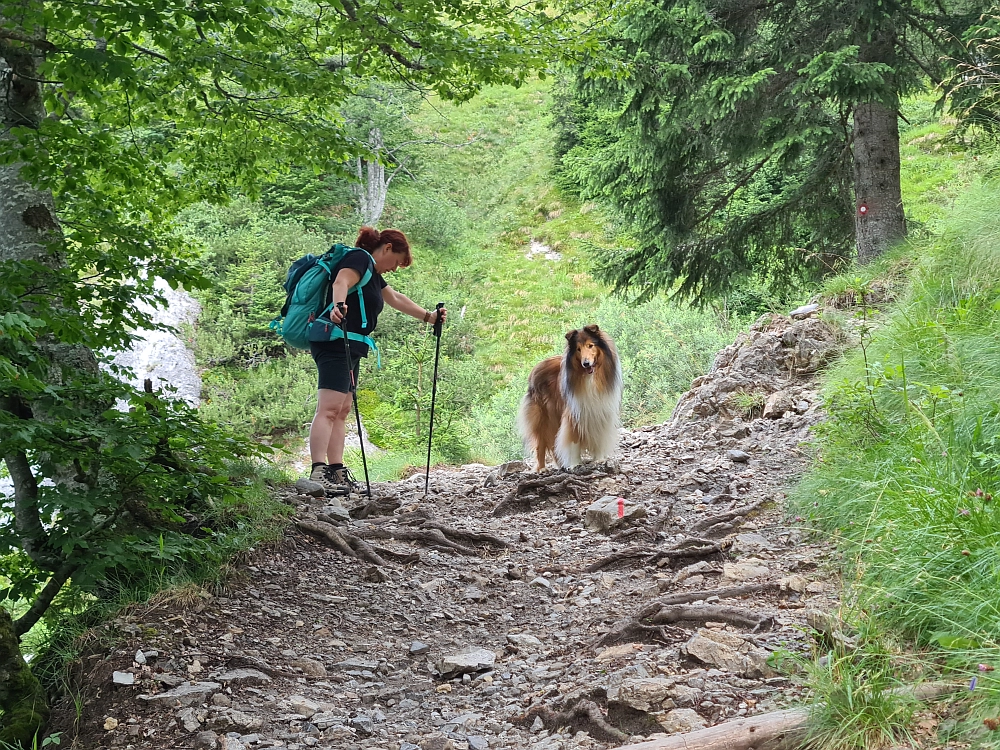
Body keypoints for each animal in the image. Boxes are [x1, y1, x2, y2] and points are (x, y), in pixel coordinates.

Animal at [520, 324, 620, 470]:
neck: (590, 379)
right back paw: (542, 468)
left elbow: (598, 437)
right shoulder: (573, 414)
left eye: (590, 345)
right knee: (541, 443)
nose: (586, 363)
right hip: (544, 417)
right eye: (578, 349)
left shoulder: (601, 412)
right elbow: (572, 440)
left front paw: (599, 459)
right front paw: (574, 463)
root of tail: (535, 368)